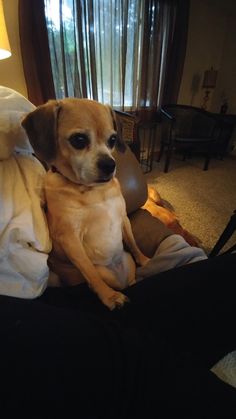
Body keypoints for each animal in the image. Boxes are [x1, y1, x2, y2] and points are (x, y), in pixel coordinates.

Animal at [21, 97, 148, 308]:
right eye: (79, 140)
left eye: (113, 140)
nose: (110, 165)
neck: (94, 191)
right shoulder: (71, 239)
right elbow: (90, 271)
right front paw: (109, 296)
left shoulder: (123, 218)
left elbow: (133, 242)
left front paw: (145, 260)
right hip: (101, 273)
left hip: (128, 263)